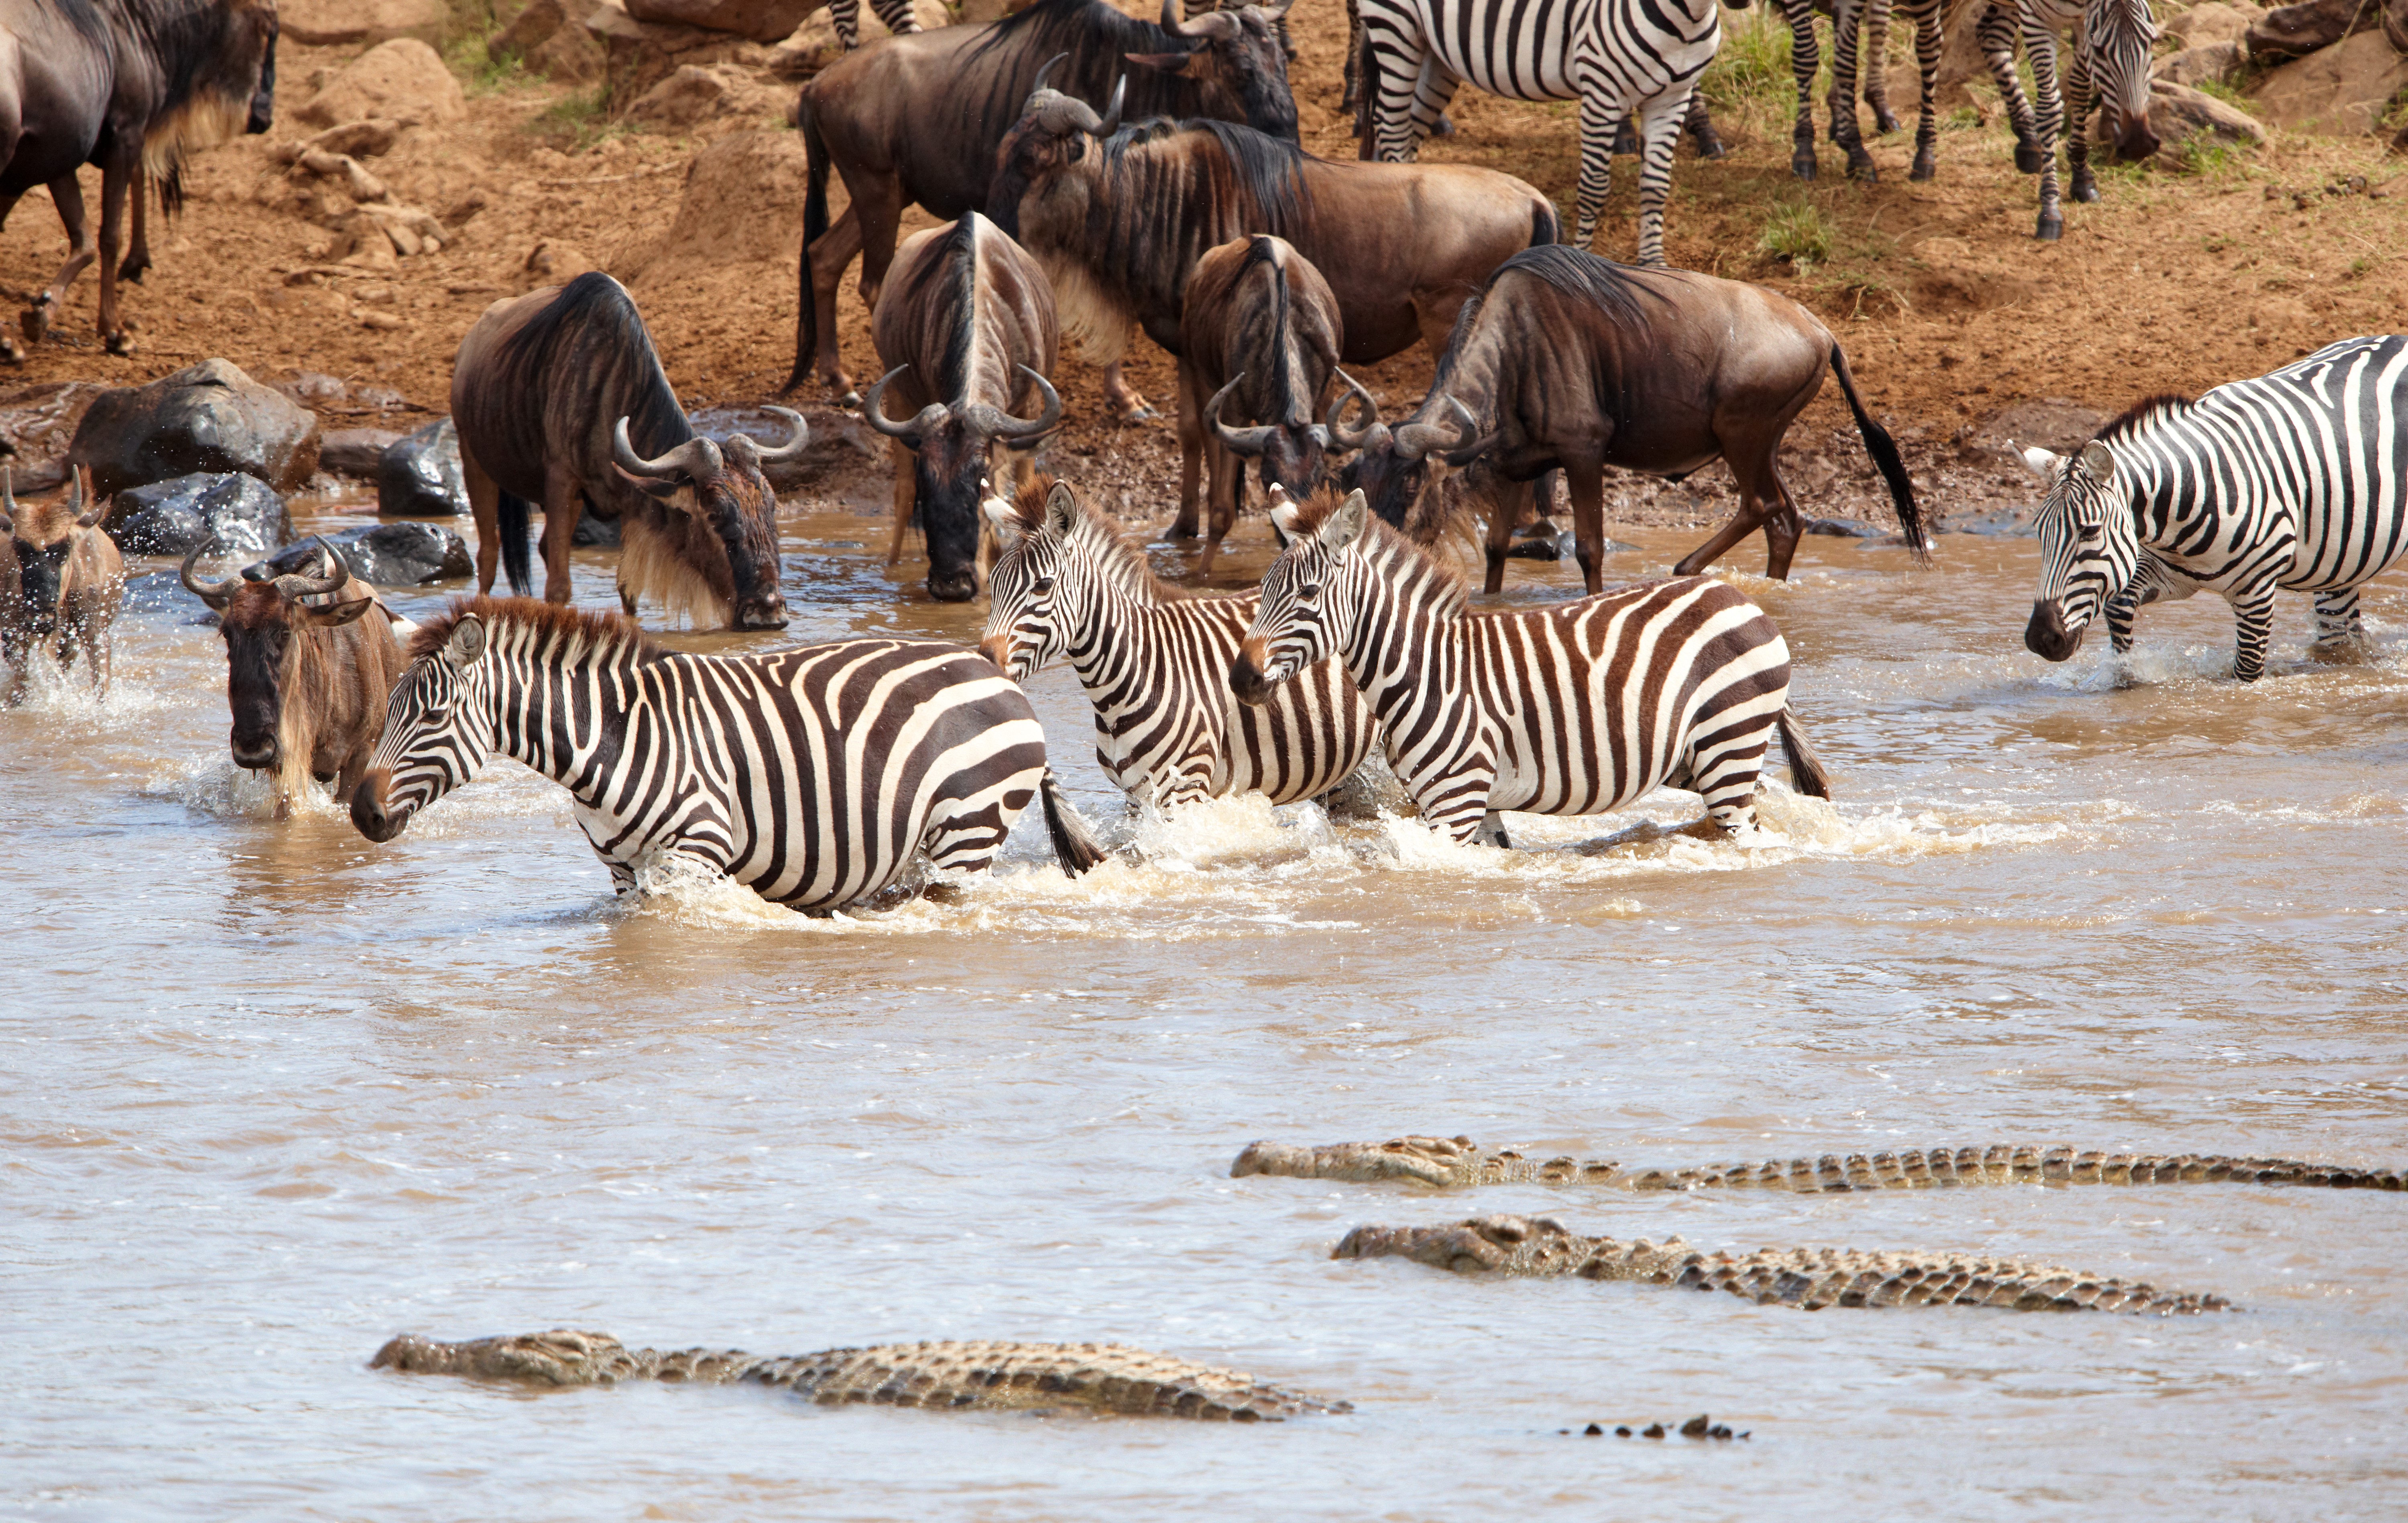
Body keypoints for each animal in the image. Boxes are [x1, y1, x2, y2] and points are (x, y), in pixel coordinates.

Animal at [348, 598, 1106, 909]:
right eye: (388, 711)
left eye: (434, 717)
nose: (362, 814)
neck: (613, 739)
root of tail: (996, 675)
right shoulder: (623, 872)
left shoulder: (695, 854)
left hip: (967, 833)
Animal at [1230, 488, 1830, 847]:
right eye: (1262, 590)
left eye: (1308, 593)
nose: (1241, 679)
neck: (1426, 673)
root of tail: (1738, 596)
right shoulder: (1472, 805)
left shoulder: (1455, 803)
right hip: (1701, 756)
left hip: (1728, 743)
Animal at [1350, 0, 1722, 266]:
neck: (1686, 18)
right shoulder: (1602, 92)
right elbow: (1594, 188)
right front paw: (1583, 259)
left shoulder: (1672, 99)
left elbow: (1657, 186)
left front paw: (1653, 263)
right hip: (1397, 29)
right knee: (1392, 127)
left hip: (1435, 53)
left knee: (1409, 131)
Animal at [2019, 335, 2408, 682]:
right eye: (2039, 533)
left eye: (2090, 531)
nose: (2041, 640)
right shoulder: (2167, 574)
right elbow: (2119, 606)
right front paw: (2126, 677)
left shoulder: (2257, 593)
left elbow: (2246, 672)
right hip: (2339, 564)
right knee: (2339, 635)